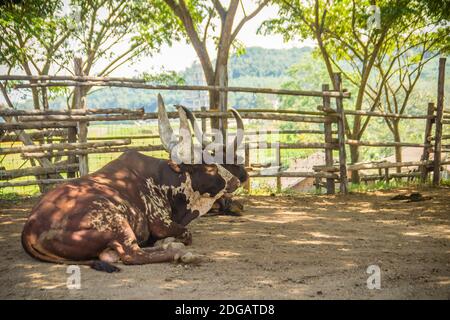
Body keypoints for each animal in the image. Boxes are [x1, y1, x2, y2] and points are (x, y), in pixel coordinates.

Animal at [21, 95, 248, 272]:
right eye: (209, 167)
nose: (237, 179)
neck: (162, 181)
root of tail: (29, 229)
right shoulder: (161, 224)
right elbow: (186, 233)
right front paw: (173, 243)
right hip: (115, 220)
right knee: (132, 254)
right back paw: (180, 253)